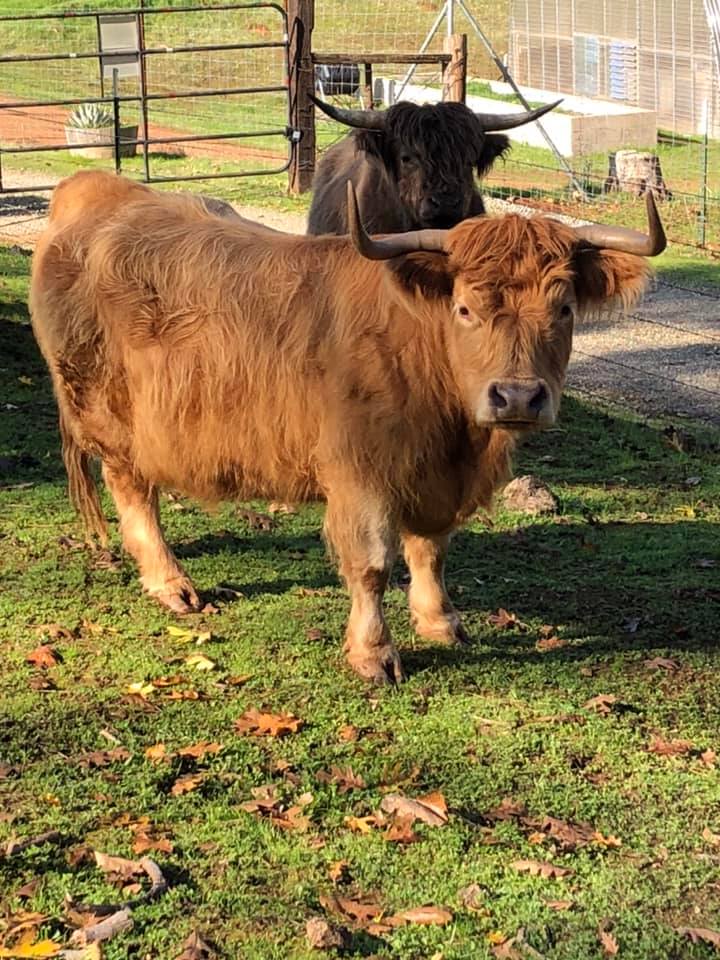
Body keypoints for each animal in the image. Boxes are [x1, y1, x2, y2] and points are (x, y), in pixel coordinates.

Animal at [30, 170, 665, 684]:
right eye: (465, 309)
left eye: (564, 309)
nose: (516, 395)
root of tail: (93, 190)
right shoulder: (360, 473)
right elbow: (373, 565)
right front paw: (374, 653)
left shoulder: (432, 478)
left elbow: (430, 550)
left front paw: (440, 621)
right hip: (108, 416)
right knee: (133, 492)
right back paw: (170, 583)